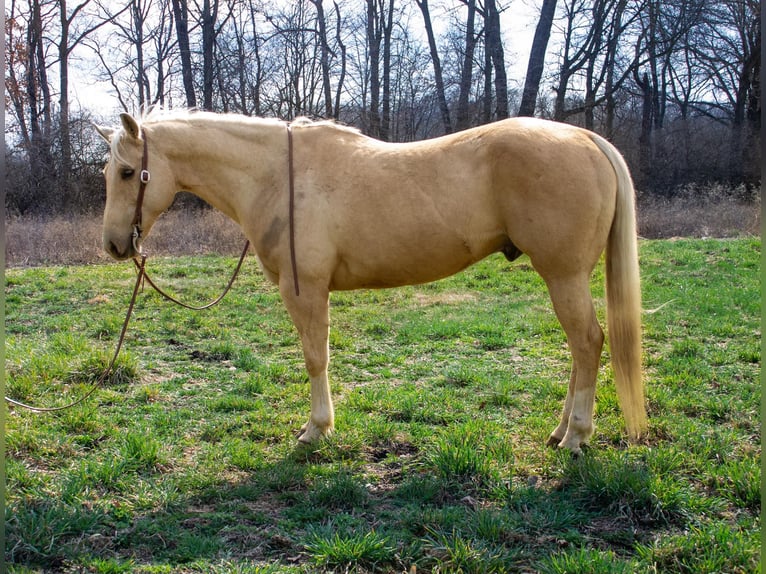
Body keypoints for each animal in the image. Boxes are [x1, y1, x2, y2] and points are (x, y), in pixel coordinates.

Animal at [96, 111, 648, 454]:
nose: (114, 245)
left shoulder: (305, 289)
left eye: (126, 172)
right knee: (581, 348)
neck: (277, 176)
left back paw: (576, 436)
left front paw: (316, 430)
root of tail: (585, 139)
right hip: (565, 279)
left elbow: (315, 358)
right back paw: (561, 432)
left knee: (587, 343)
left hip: (564, 275)